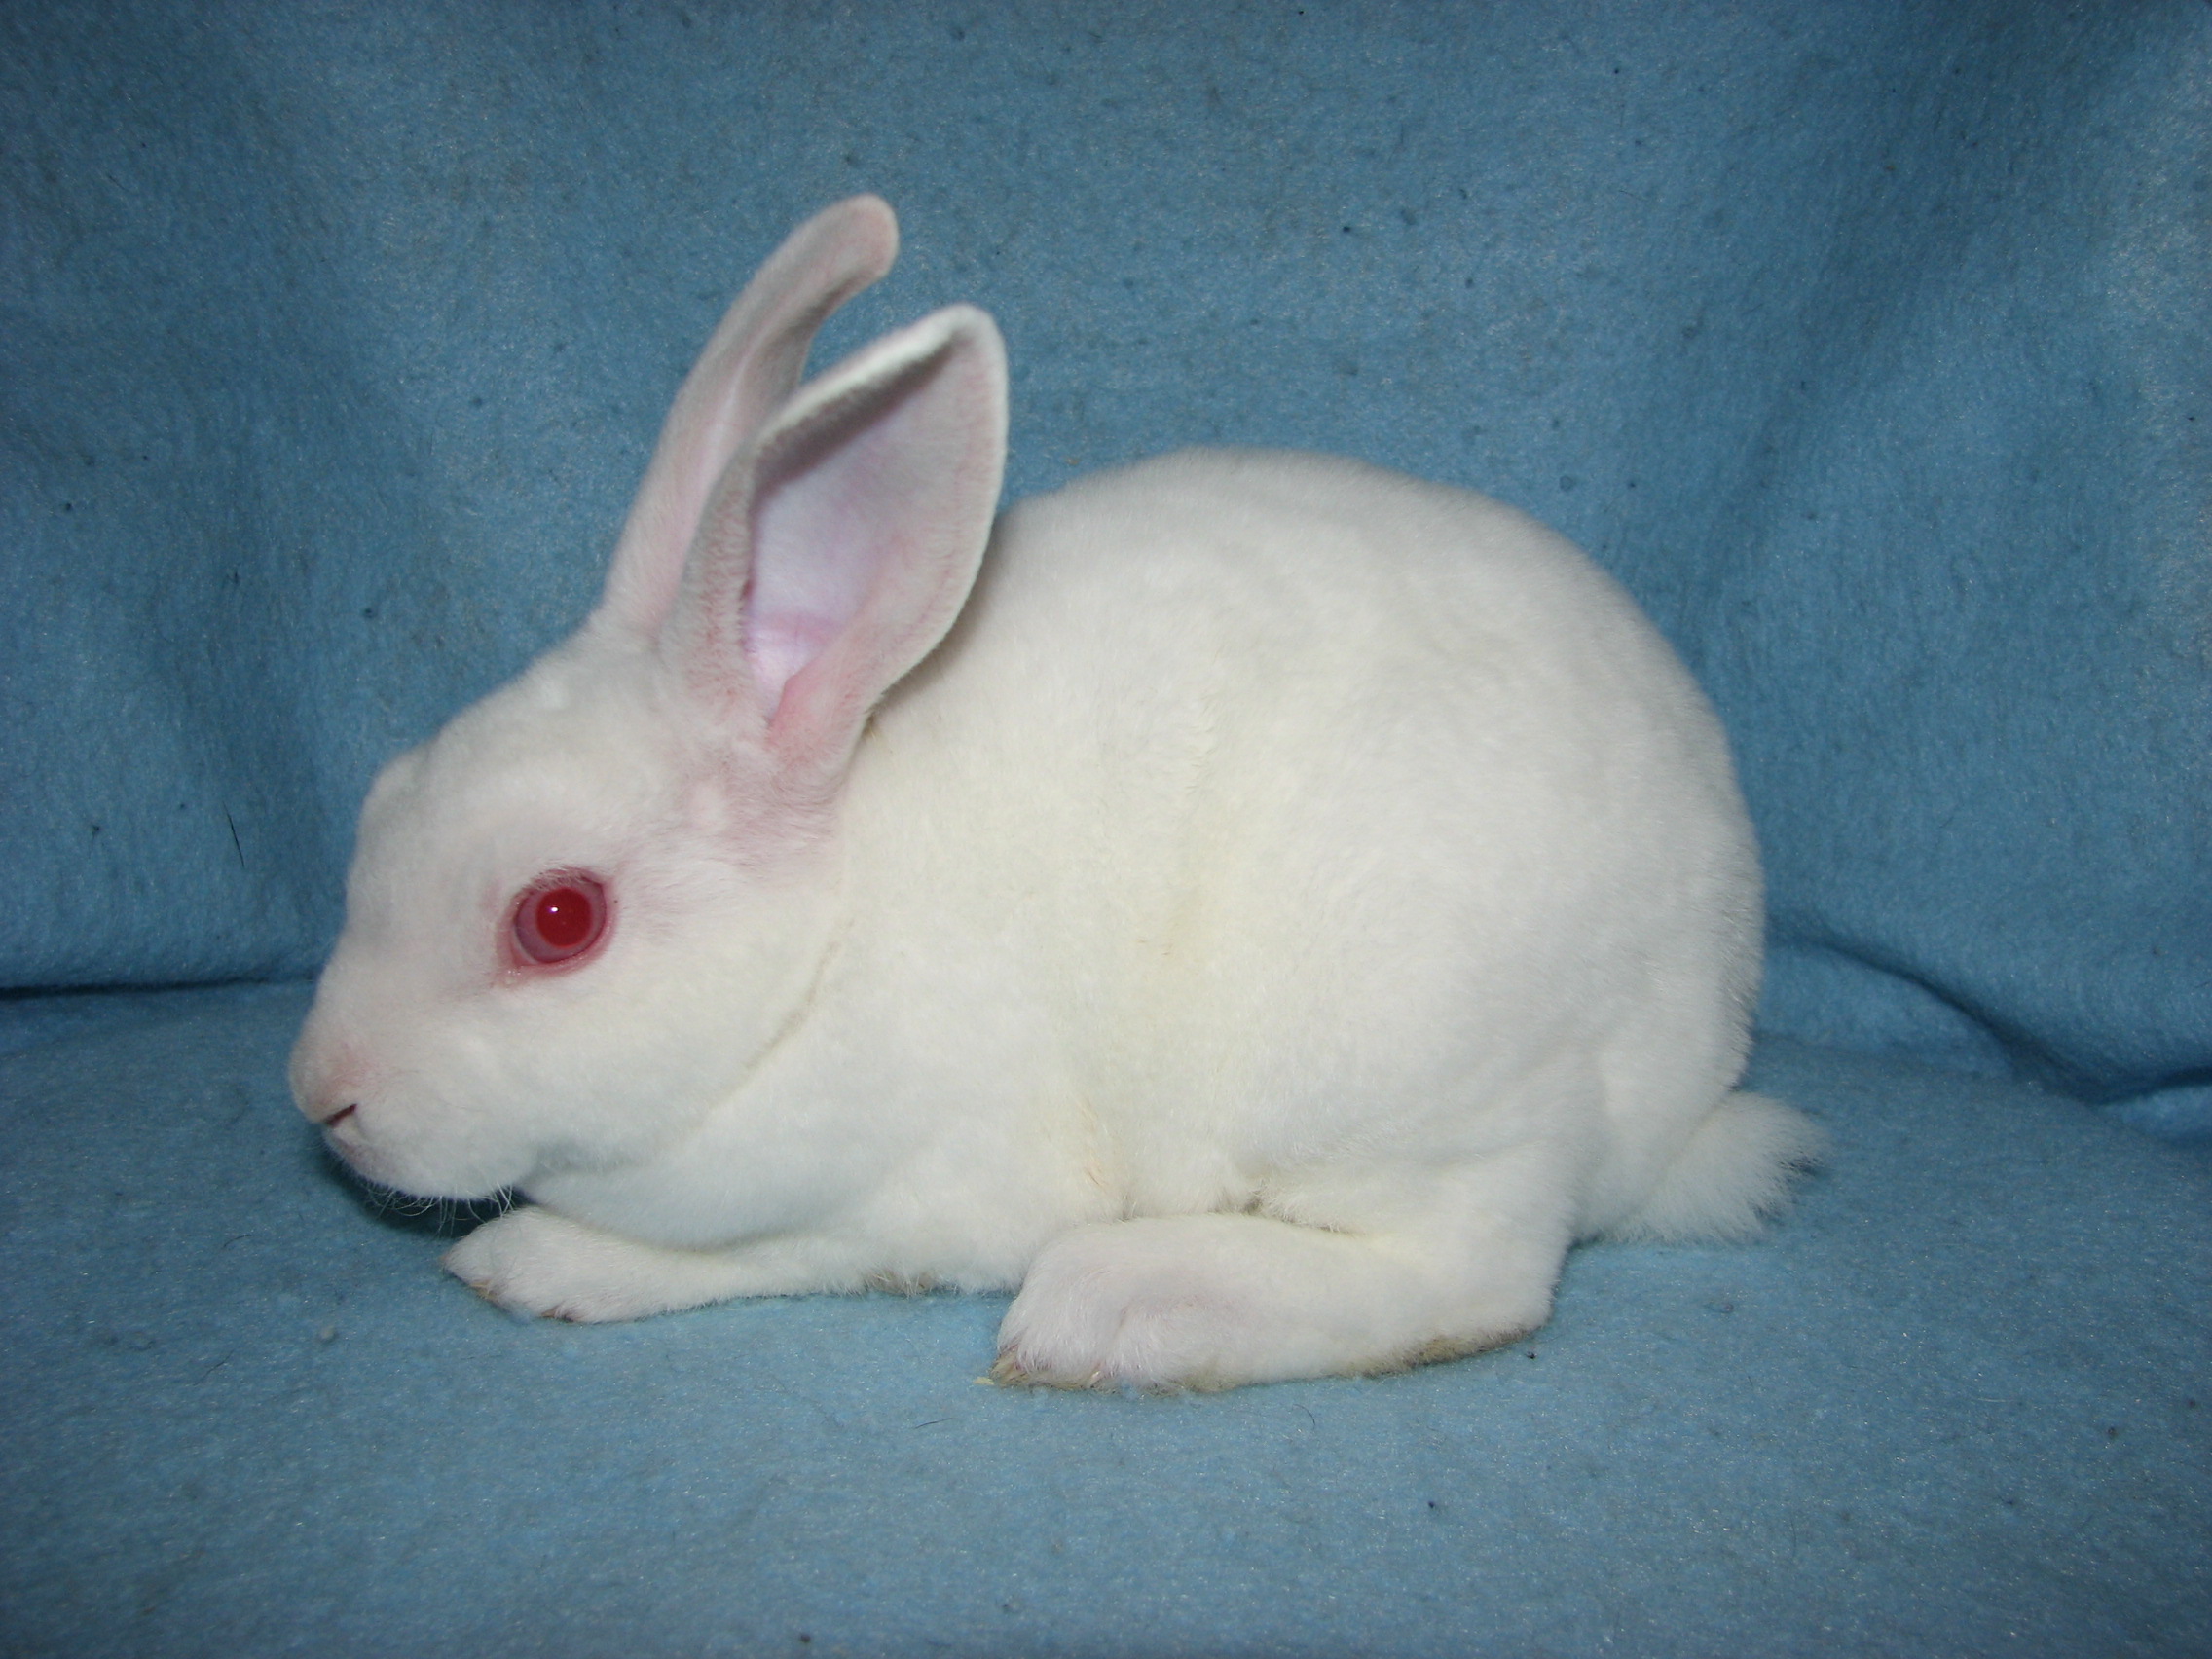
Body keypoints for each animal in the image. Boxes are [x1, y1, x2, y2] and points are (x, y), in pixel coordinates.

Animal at [290, 195, 1823, 1391]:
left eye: (557, 919)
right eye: (381, 801)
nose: (323, 1096)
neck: (814, 950)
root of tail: (1701, 1059)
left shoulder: (907, 1198)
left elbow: (740, 1248)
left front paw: (533, 1261)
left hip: (1400, 1077)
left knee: (1474, 1277)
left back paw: (1119, 1312)